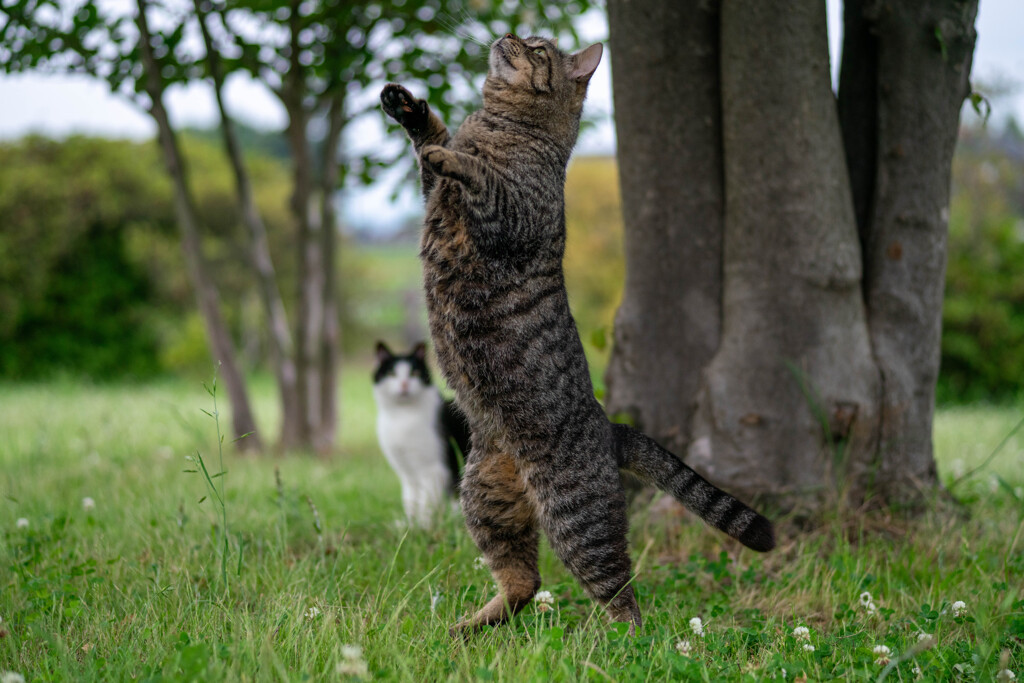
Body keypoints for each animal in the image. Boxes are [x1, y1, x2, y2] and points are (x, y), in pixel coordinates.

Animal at [372, 342, 471, 528]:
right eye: (391, 373)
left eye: (414, 373)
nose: (404, 384)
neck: (402, 417)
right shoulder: (407, 473)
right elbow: (410, 500)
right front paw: (410, 526)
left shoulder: (433, 470)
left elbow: (426, 503)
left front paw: (425, 527)